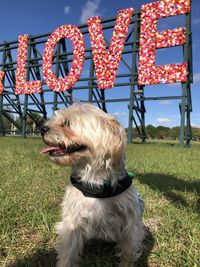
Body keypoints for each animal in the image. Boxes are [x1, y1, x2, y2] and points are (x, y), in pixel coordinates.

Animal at [40, 103, 145, 266]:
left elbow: (127, 254)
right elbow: (68, 253)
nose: (42, 128)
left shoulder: (130, 225)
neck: (96, 185)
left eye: (67, 123)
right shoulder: (72, 222)